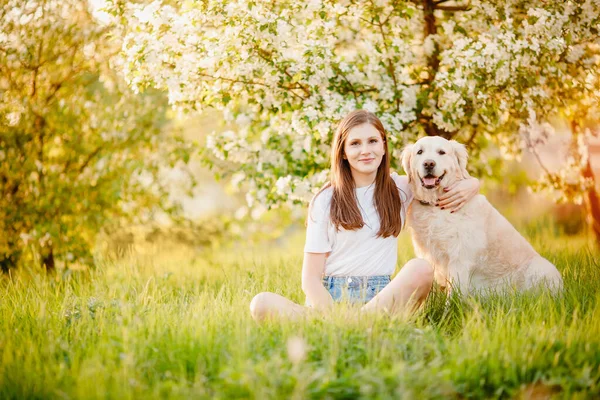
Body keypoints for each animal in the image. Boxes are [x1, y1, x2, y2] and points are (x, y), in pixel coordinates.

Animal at [404, 136, 564, 296]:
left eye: (441, 152)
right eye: (420, 152)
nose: (429, 163)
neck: (435, 205)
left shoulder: (460, 258)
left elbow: (455, 293)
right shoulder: (429, 257)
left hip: (542, 267)